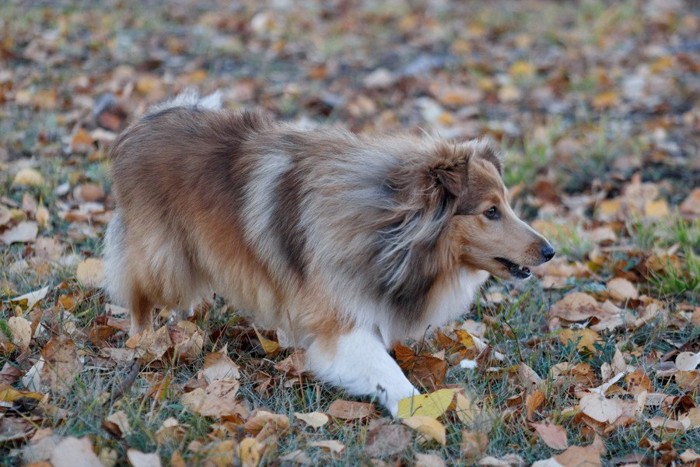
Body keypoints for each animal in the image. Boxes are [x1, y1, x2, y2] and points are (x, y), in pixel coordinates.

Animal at [104, 89, 556, 414]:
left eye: (507, 204)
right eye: (490, 211)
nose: (550, 251)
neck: (387, 225)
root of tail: (143, 122)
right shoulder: (341, 326)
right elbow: (387, 371)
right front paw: (424, 411)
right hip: (165, 261)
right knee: (138, 295)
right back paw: (143, 342)